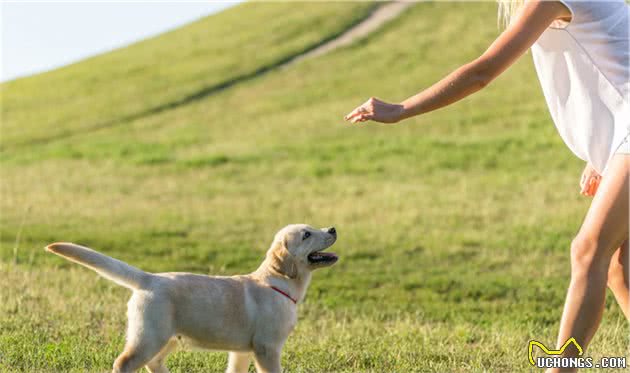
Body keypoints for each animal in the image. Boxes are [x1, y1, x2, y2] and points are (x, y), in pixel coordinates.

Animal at [45, 224, 340, 372]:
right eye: (307, 234)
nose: (333, 229)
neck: (276, 282)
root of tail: (148, 278)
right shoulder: (267, 348)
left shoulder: (242, 351)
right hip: (149, 335)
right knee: (125, 362)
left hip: (167, 338)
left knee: (153, 363)